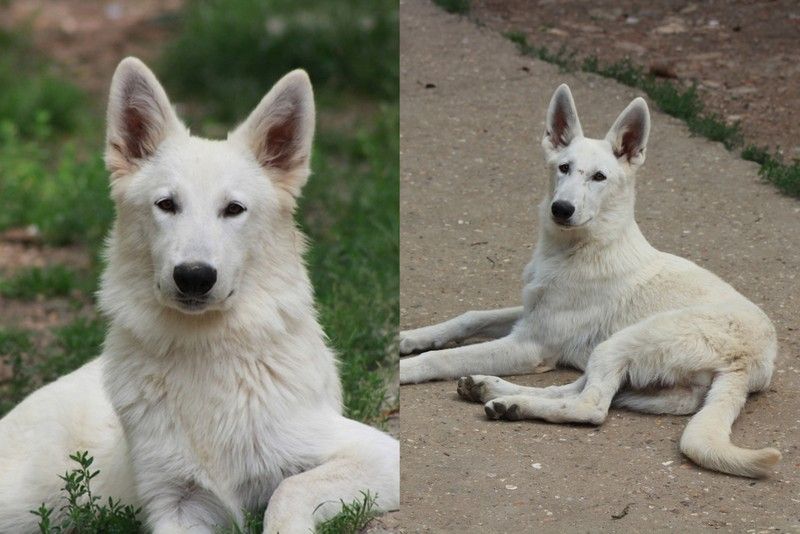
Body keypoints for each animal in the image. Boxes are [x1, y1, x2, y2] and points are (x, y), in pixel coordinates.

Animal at [0, 58, 400, 534]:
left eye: (234, 209)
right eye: (167, 204)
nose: (194, 277)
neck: (204, 352)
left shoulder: (377, 452)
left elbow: (287, 490)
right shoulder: (176, 502)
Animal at [400, 85, 780, 482]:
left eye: (599, 177)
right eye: (563, 168)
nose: (561, 209)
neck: (577, 249)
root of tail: (751, 365)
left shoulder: (530, 345)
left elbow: (443, 358)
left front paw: (404, 369)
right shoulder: (530, 315)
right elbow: (469, 317)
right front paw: (408, 338)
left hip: (623, 341)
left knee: (591, 406)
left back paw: (514, 402)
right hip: (623, 364)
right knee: (571, 388)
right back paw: (492, 391)